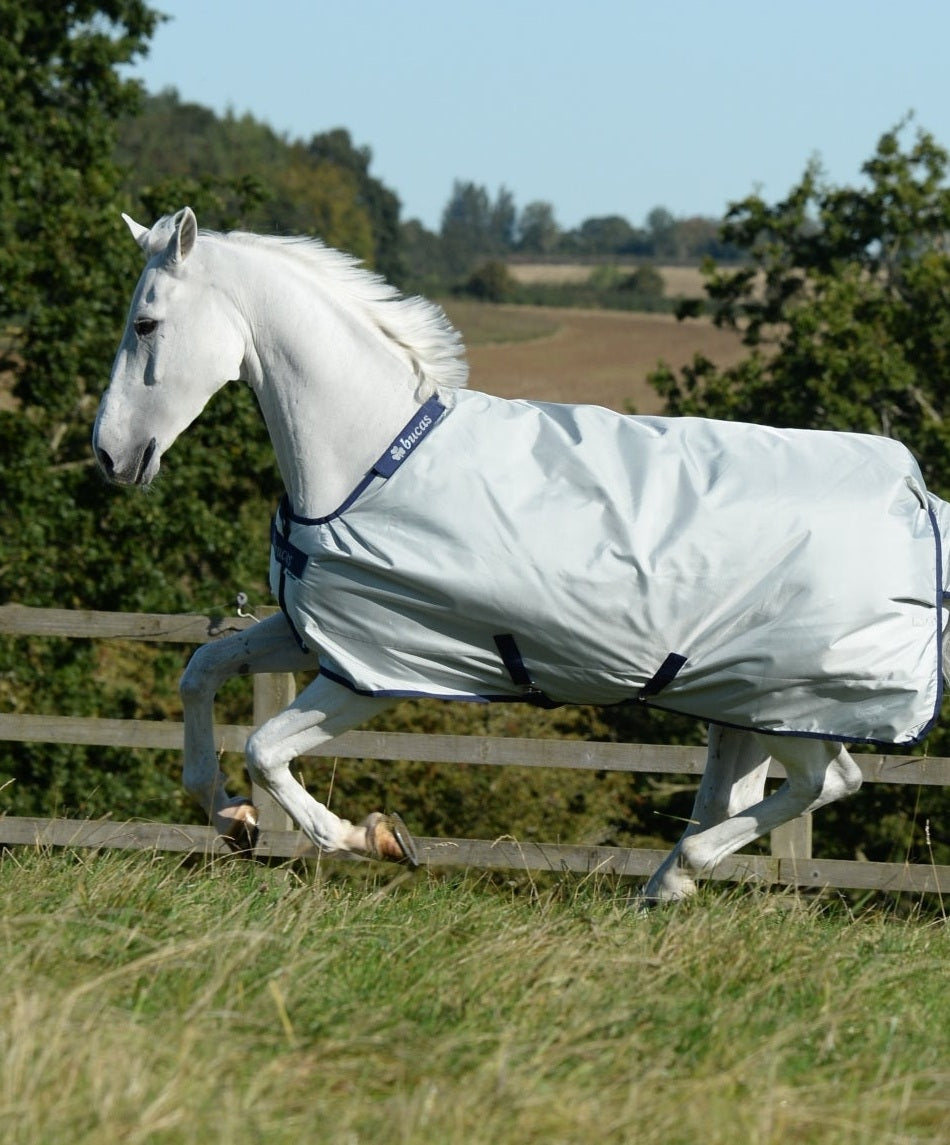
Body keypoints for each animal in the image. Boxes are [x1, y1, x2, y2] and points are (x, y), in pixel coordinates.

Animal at [93, 207, 950, 902]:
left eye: (146, 325)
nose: (108, 455)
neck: (371, 454)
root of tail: (915, 498)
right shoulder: (315, 635)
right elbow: (201, 671)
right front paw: (230, 815)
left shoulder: (373, 668)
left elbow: (266, 747)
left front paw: (375, 838)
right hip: (735, 699)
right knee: (739, 795)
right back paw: (664, 885)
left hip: (791, 703)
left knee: (828, 780)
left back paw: (676, 872)